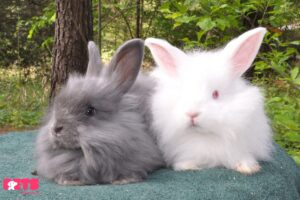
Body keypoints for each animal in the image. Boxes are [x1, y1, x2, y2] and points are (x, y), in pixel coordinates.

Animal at [145, 27, 274, 174]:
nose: (192, 114)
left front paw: (249, 168)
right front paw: (188, 166)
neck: (206, 136)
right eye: (183, 93)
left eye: (216, 94)